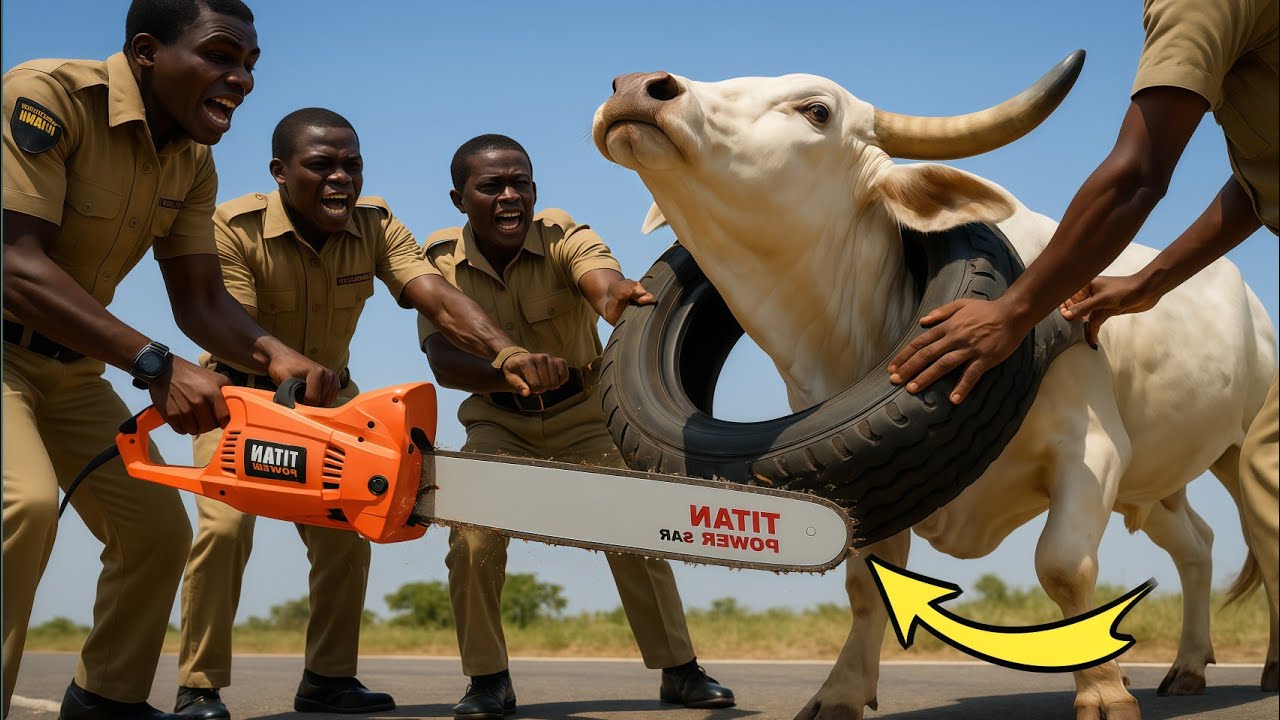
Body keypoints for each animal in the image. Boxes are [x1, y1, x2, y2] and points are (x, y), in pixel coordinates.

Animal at [592, 61, 1278, 720]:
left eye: (816, 110)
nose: (638, 88)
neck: (847, 335)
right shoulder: (858, 484)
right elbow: (865, 590)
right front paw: (841, 692)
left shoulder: (1092, 450)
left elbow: (1062, 566)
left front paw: (1104, 694)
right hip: (1158, 484)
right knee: (1197, 546)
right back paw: (1187, 667)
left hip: (1241, 446)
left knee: (1259, 537)